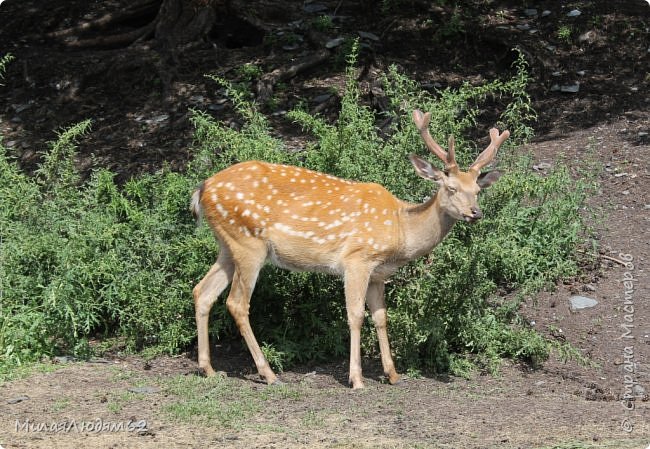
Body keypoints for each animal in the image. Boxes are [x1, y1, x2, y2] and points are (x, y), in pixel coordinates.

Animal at [190, 109, 508, 388]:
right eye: (451, 188)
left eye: (477, 191)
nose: (475, 212)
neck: (400, 230)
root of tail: (202, 189)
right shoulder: (358, 259)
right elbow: (355, 315)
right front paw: (356, 379)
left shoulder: (379, 273)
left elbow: (381, 317)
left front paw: (393, 374)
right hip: (249, 243)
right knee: (237, 303)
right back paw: (268, 374)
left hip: (227, 245)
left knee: (202, 291)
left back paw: (209, 369)